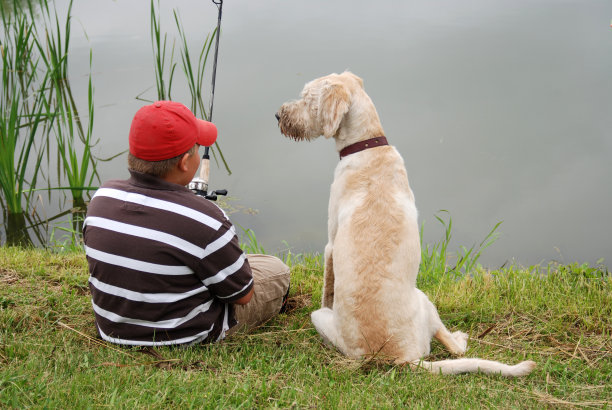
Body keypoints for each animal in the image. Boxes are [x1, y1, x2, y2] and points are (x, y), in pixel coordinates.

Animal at [278, 72, 536, 376]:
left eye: (308, 99)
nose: (278, 115)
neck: (368, 147)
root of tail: (402, 357)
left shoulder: (330, 245)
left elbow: (327, 289)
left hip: (414, 300)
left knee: (456, 348)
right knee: (455, 348)